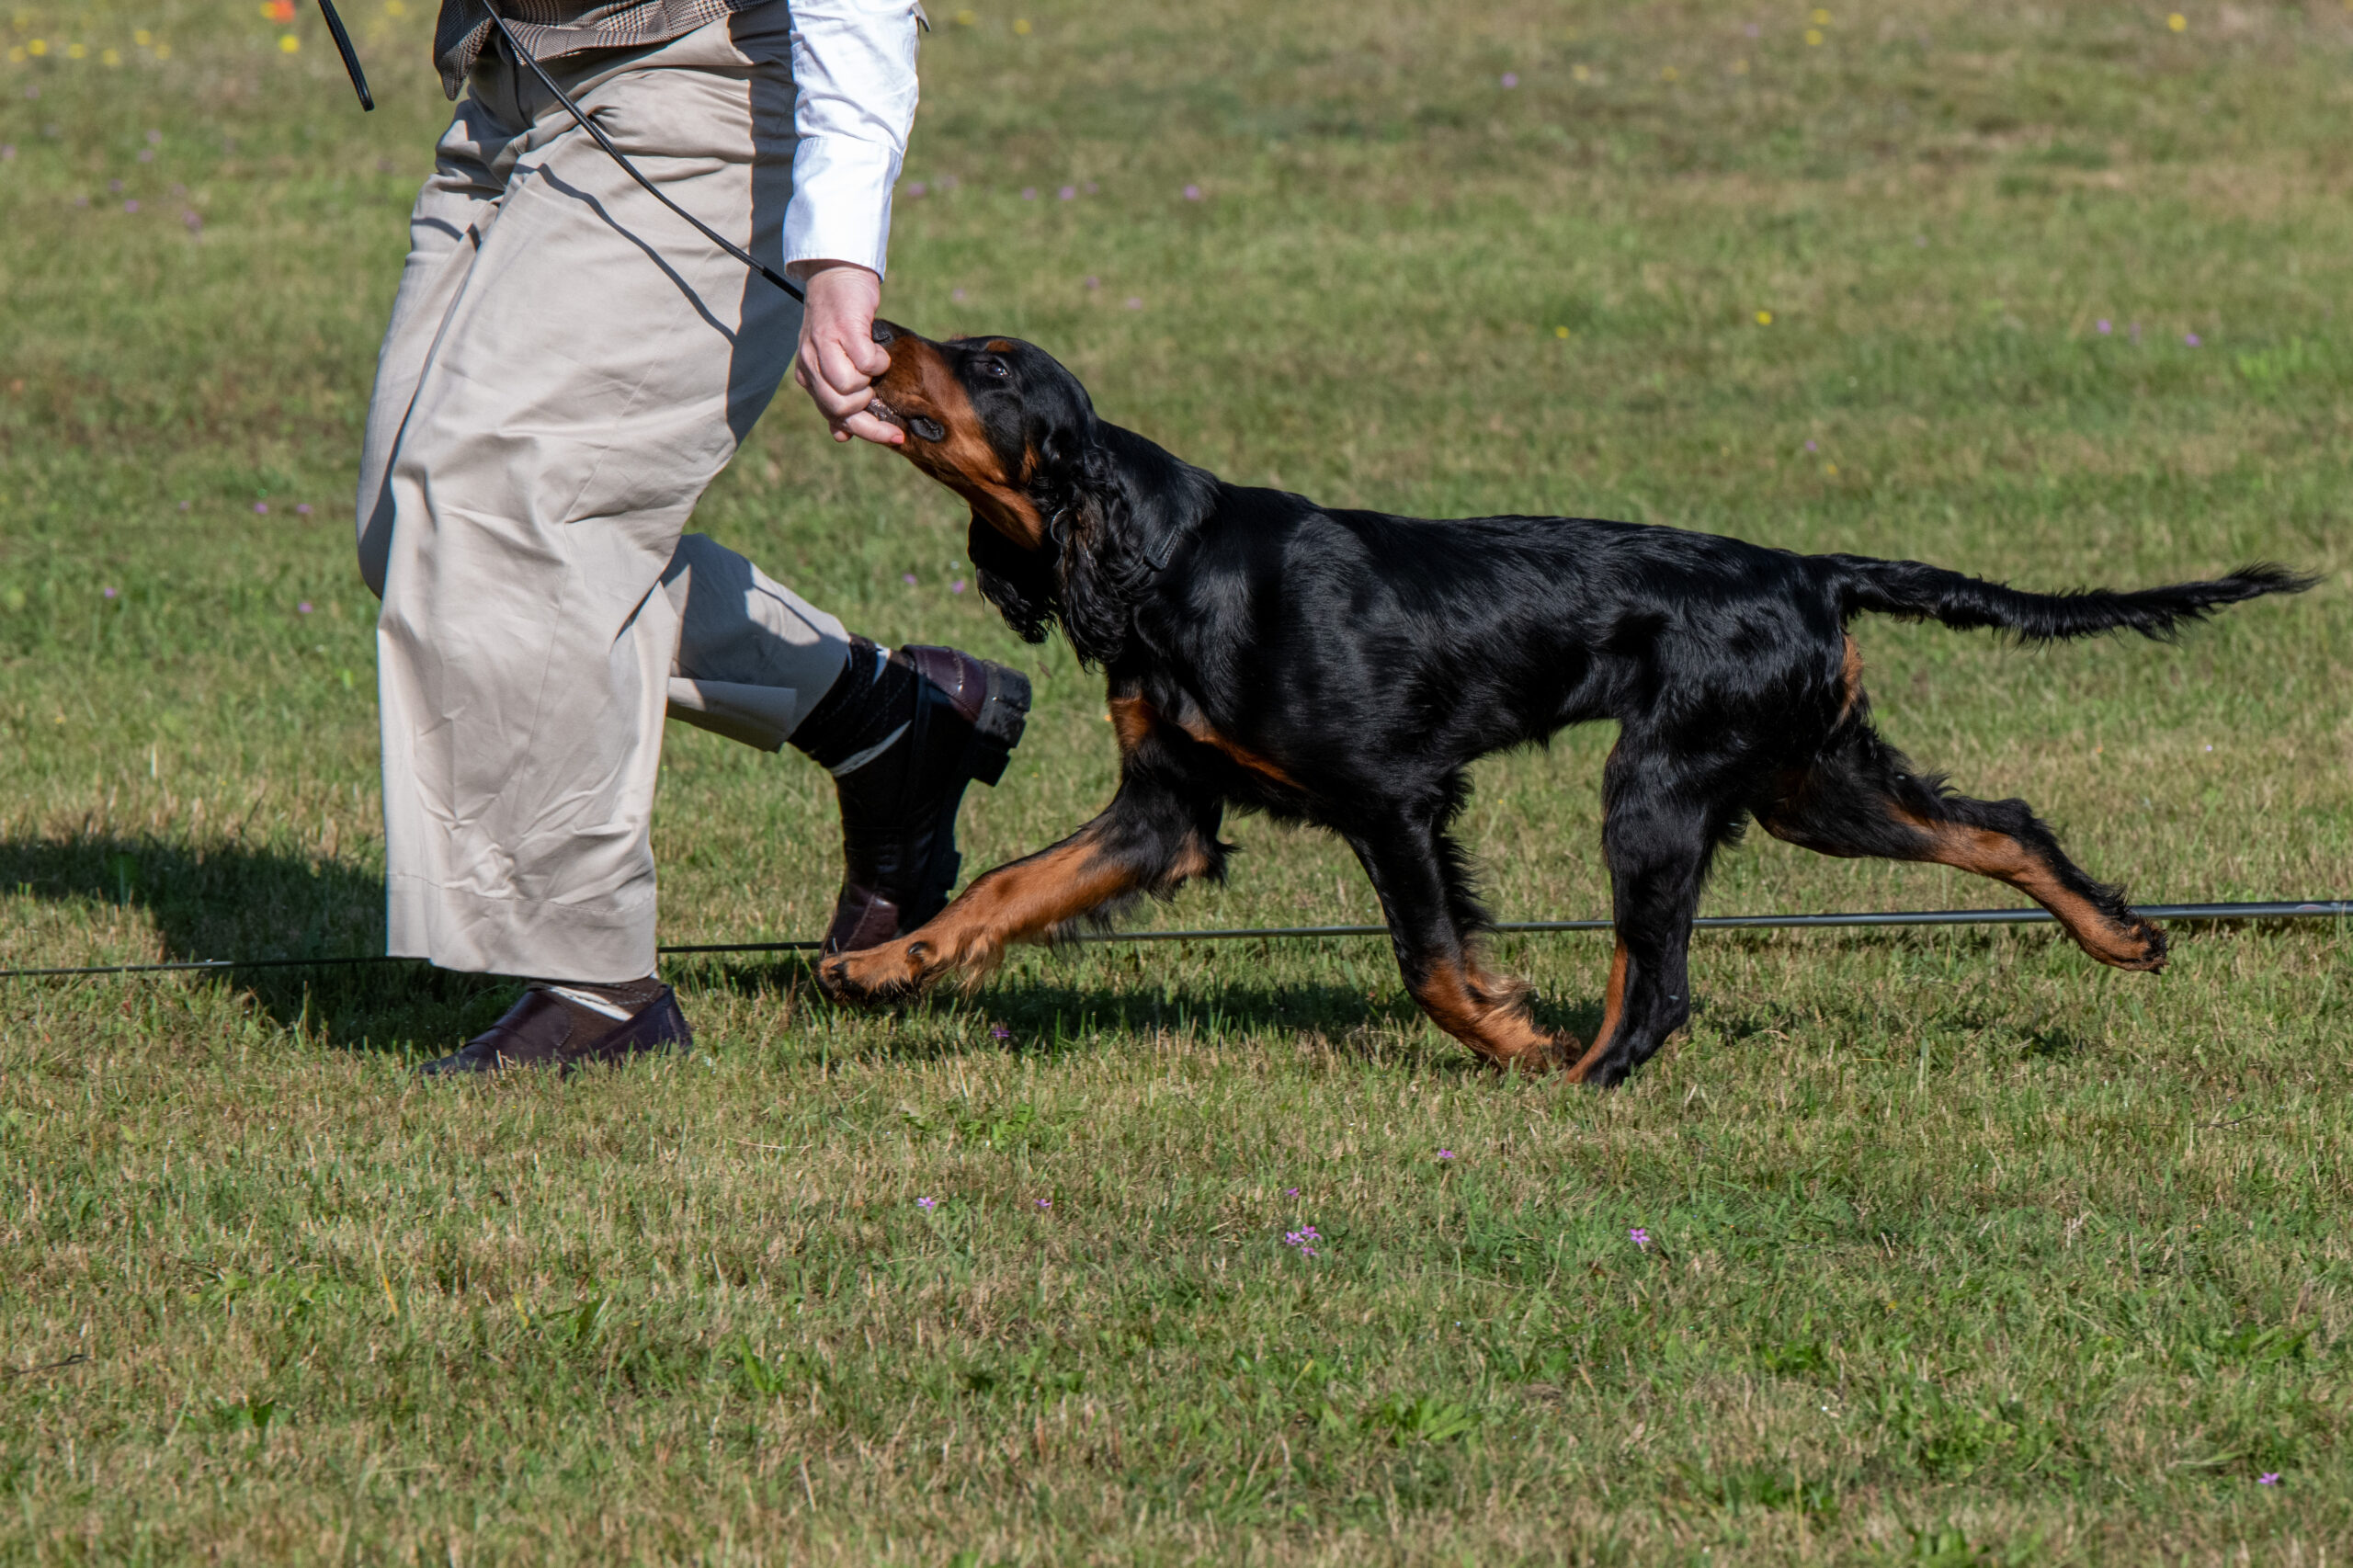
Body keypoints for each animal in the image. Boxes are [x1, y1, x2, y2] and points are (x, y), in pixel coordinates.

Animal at [817, 323, 2311, 1086]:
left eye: (991, 364)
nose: (873, 329)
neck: (1169, 559)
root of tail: (1809, 567)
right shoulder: (1163, 809)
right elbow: (1009, 884)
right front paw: (885, 963)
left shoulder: (1393, 796)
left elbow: (1431, 961)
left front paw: (1510, 1032)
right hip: (1804, 780)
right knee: (1997, 820)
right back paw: (2119, 936)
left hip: (1658, 786)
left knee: (1663, 983)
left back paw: (1583, 1077)